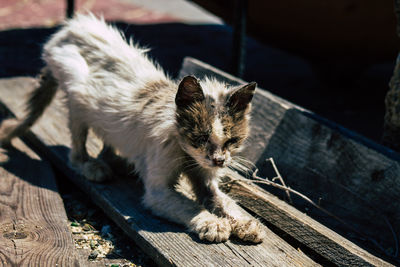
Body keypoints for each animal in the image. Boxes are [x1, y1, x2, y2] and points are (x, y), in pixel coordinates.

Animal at [0, 14, 266, 245]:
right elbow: (189, 205)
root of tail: (70, 28)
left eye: (232, 141)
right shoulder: (158, 192)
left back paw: (119, 163)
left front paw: (245, 223)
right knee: (76, 146)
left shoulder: (205, 176)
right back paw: (91, 166)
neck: (186, 153)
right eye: (200, 137)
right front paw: (213, 223)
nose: (220, 161)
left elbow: (222, 200)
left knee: (109, 136)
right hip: (77, 95)